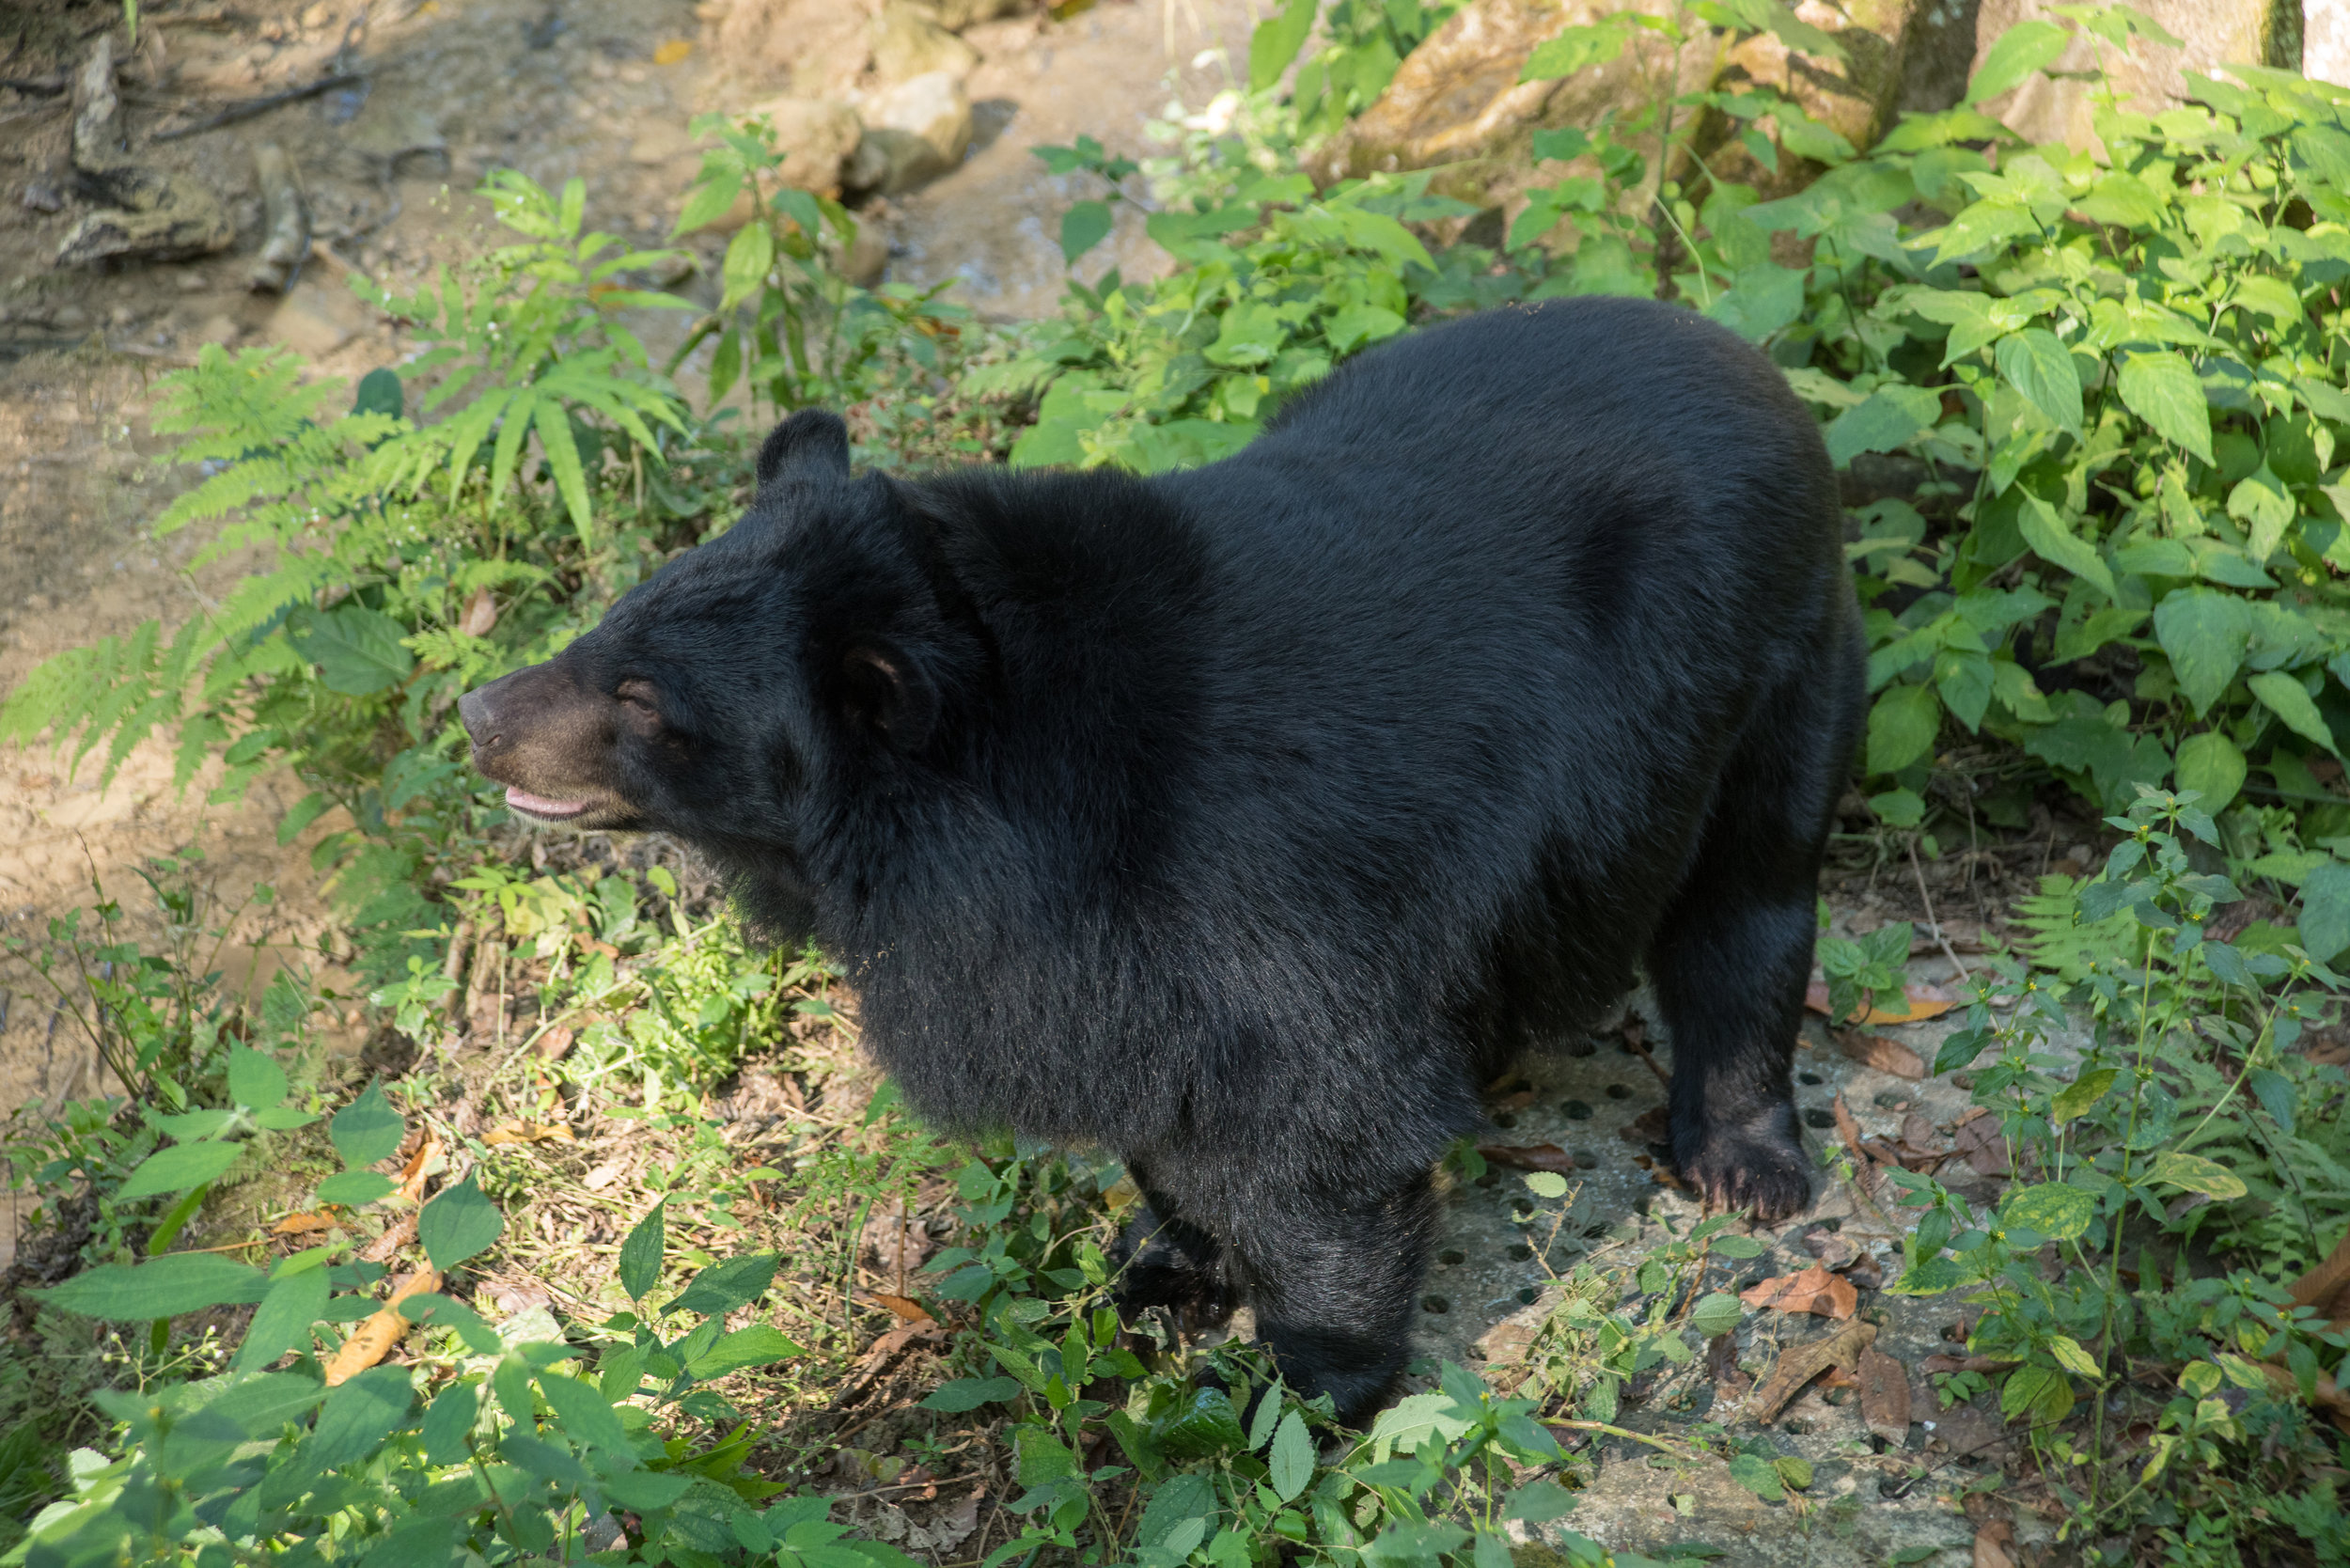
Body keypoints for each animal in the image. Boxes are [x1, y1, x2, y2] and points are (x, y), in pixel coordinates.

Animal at [467, 297, 1871, 1438]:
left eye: (642, 700)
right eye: (611, 627)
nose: (478, 711)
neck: (975, 819)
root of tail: (1746, 356)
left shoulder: (1263, 894)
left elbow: (1328, 1128)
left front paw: (1296, 1390)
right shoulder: (1090, 964)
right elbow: (1155, 1099)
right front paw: (1158, 1267)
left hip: (1767, 664)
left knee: (1747, 904)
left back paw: (1742, 1164)